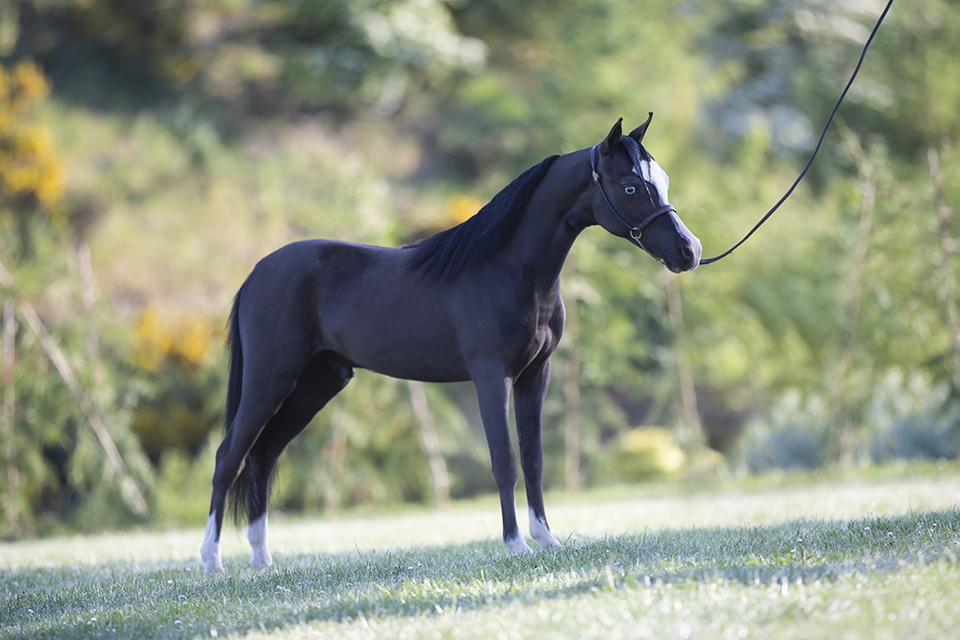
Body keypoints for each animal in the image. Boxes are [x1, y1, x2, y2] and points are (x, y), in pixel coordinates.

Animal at [200, 114, 702, 573]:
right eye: (631, 188)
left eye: (663, 180)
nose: (690, 251)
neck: (508, 269)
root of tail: (257, 273)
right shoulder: (491, 376)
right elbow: (504, 461)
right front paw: (515, 544)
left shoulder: (535, 375)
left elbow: (534, 459)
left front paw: (546, 539)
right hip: (270, 380)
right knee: (230, 457)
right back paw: (211, 561)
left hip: (316, 384)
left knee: (264, 456)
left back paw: (262, 558)